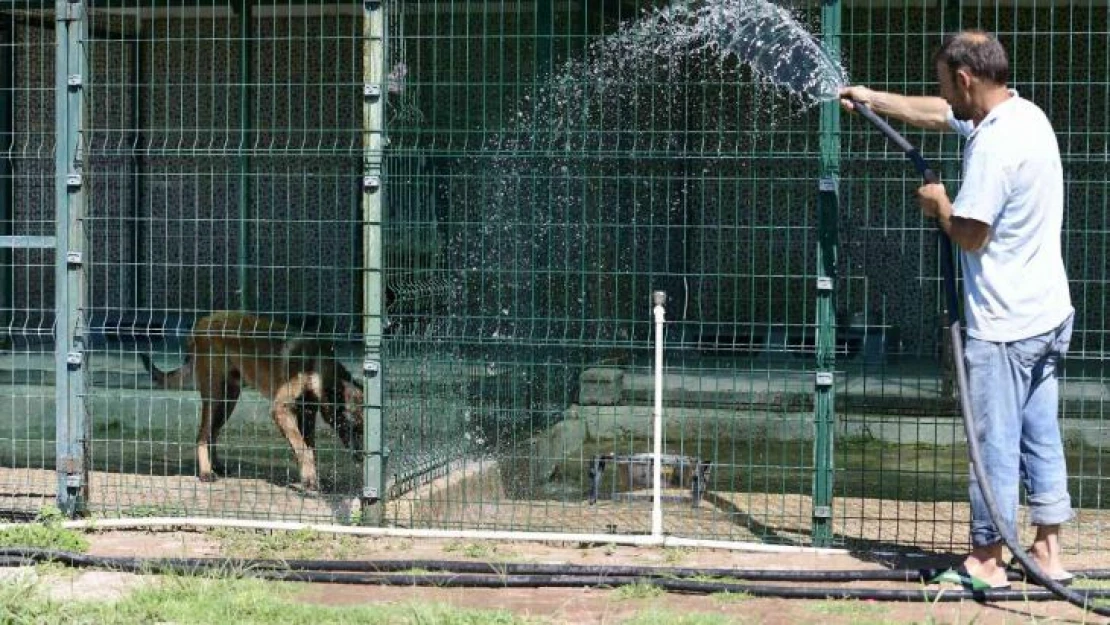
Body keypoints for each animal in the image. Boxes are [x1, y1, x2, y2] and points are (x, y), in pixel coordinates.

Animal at [138, 310, 364, 490]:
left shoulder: (306, 414)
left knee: (213, 432)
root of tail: (203, 321)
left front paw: (311, 477)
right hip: (215, 395)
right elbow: (302, 447)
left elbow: (309, 447)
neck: (317, 367)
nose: (362, 458)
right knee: (202, 435)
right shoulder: (281, 409)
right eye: (351, 426)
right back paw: (205, 472)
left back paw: (216, 465)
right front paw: (309, 480)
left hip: (229, 398)